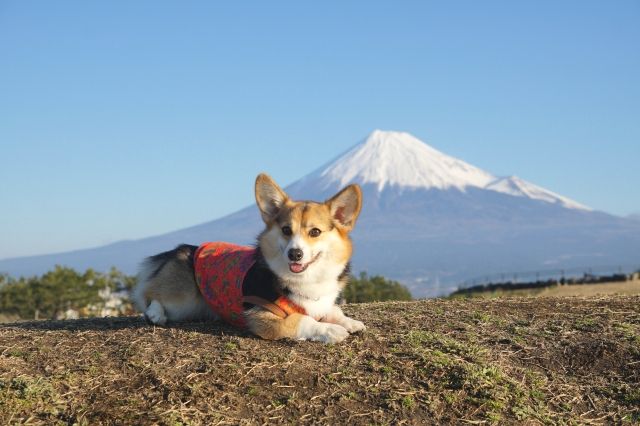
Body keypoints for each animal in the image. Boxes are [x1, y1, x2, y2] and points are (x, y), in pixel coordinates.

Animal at [134, 173, 364, 342]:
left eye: (315, 232)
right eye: (286, 230)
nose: (295, 253)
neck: (307, 280)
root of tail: (182, 249)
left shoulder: (323, 304)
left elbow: (334, 310)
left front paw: (350, 322)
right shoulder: (261, 315)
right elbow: (303, 320)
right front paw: (330, 330)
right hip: (184, 297)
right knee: (149, 294)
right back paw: (156, 314)